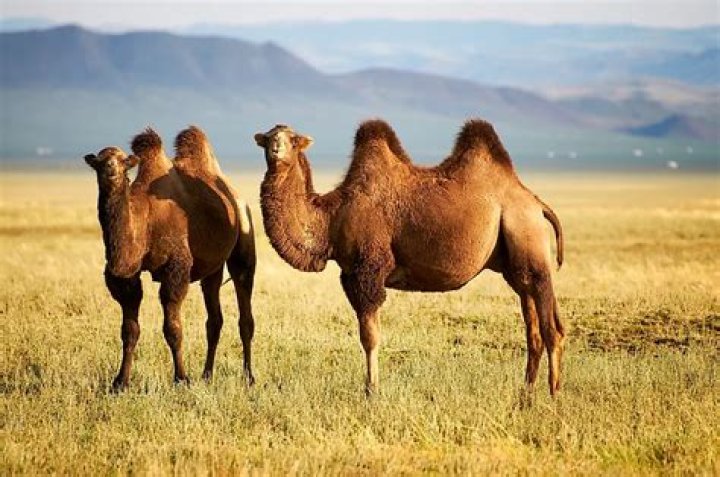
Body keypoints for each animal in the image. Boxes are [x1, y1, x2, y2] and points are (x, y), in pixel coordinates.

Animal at [84, 126, 256, 390]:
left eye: (123, 162)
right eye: (100, 161)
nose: (111, 169)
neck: (144, 218)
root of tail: (235, 195)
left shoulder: (176, 267)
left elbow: (173, 329)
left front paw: (181, 379)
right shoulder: (128, 276)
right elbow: (129, 330)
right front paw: (120, 382)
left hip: (244, 239)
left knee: (245, 310)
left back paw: (248, 377)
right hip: (212, 267)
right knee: (214, 319)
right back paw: (207, 375)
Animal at [254, 119, 565, 396]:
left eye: (293, 140)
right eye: (267, 138)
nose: (276, 150)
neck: (332, 217)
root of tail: (537, 204)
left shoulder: (368, 270)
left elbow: (369, 337)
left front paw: (371, 391)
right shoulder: (350, 274)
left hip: (527, 237)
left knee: (552, 329)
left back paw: (552, 395)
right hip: (516, 266)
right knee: (533, 329)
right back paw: (526, 395)